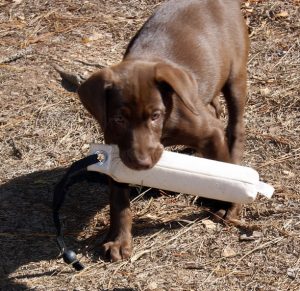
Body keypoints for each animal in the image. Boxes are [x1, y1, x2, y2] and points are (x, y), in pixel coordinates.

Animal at [77, 0, 248, 264]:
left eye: (155, 115)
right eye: (118, 119)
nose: (141, 163)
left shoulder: (211, 132)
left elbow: (223, 165)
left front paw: (228, 204)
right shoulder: (115, 152)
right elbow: (118, 202)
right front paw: (119, 240)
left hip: (236, 77)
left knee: (235, 128)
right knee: (213, 107)